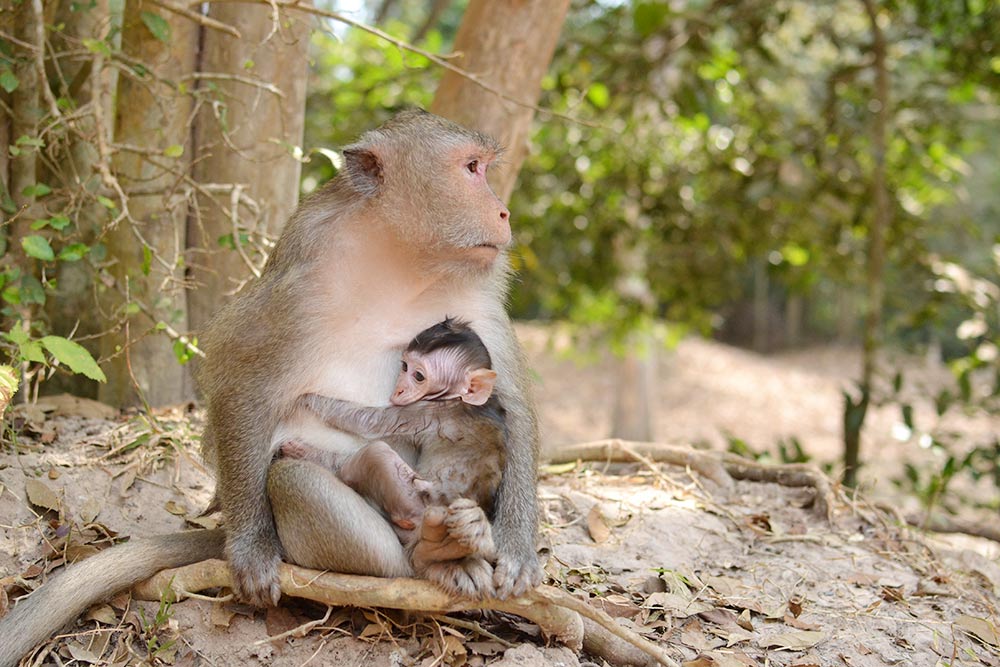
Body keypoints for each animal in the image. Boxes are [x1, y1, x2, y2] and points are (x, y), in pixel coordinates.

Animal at [288, 318, 508, 596]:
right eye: (404, 366)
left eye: (418, 376)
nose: (399, 389)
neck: (457, 399)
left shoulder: (422, 411)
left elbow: (368, 421)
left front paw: (309, 400)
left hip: (415, 503)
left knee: (374, 455)